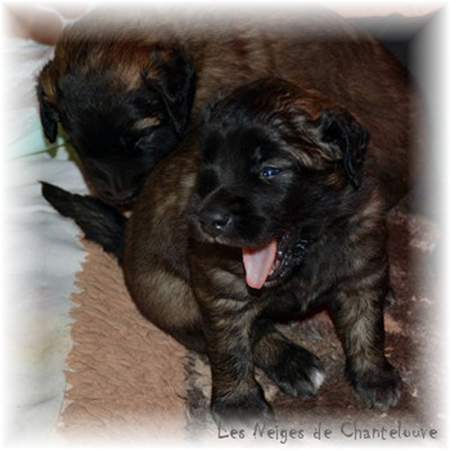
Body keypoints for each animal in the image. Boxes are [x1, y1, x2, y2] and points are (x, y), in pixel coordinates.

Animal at [43, 74, 414, 426]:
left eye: (269, 171)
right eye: (209, 171)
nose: (208, 220)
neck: (311, 249)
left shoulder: (362, 267)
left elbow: (366, 324)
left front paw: (375, 375)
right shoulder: (221, 291)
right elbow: (230, 348)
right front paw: (240, 403)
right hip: (173, 297)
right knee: (230, 334)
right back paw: (293, 363)